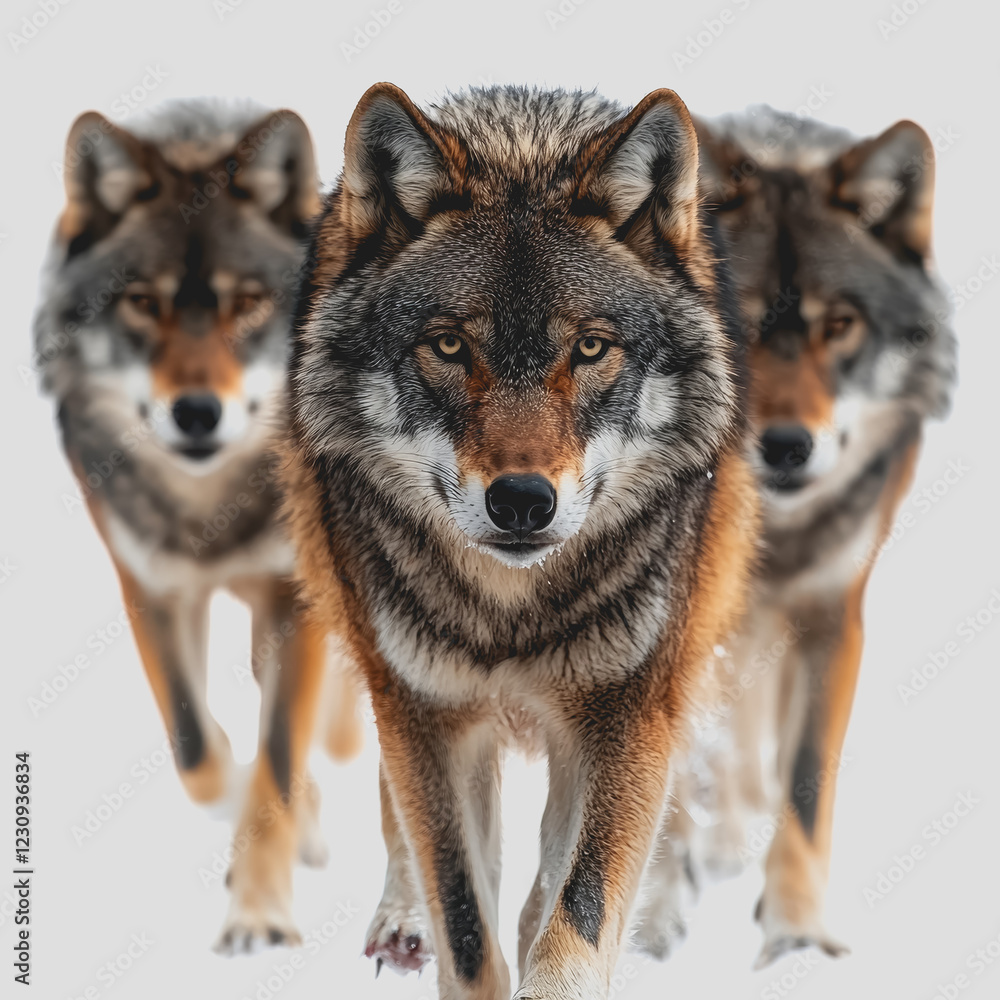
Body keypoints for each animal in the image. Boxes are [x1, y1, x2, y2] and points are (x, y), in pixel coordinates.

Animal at [33, 102, 361, 952]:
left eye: (244, 302)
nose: (197, 413)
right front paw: (240, 806)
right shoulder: (151, 588)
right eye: (142, 303)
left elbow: (280, 756)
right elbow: (196, 752)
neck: (211, 508)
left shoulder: (293, 601)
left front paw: (260, 912)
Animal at [282, 83, 759, 998]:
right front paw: (440, 927)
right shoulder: (427, 712)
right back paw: (403, 919)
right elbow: (465, 920)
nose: (523, 502)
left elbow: (574, 914)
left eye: (592, 348)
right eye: (447, 344)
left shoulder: (627, 712)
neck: (513, 616)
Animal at [632, 106, 957, 967]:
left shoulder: (830, 619)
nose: (784, 448)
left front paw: (798, 935)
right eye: (738, 322)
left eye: (837, 326)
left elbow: (806, 787)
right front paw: (652, 925)